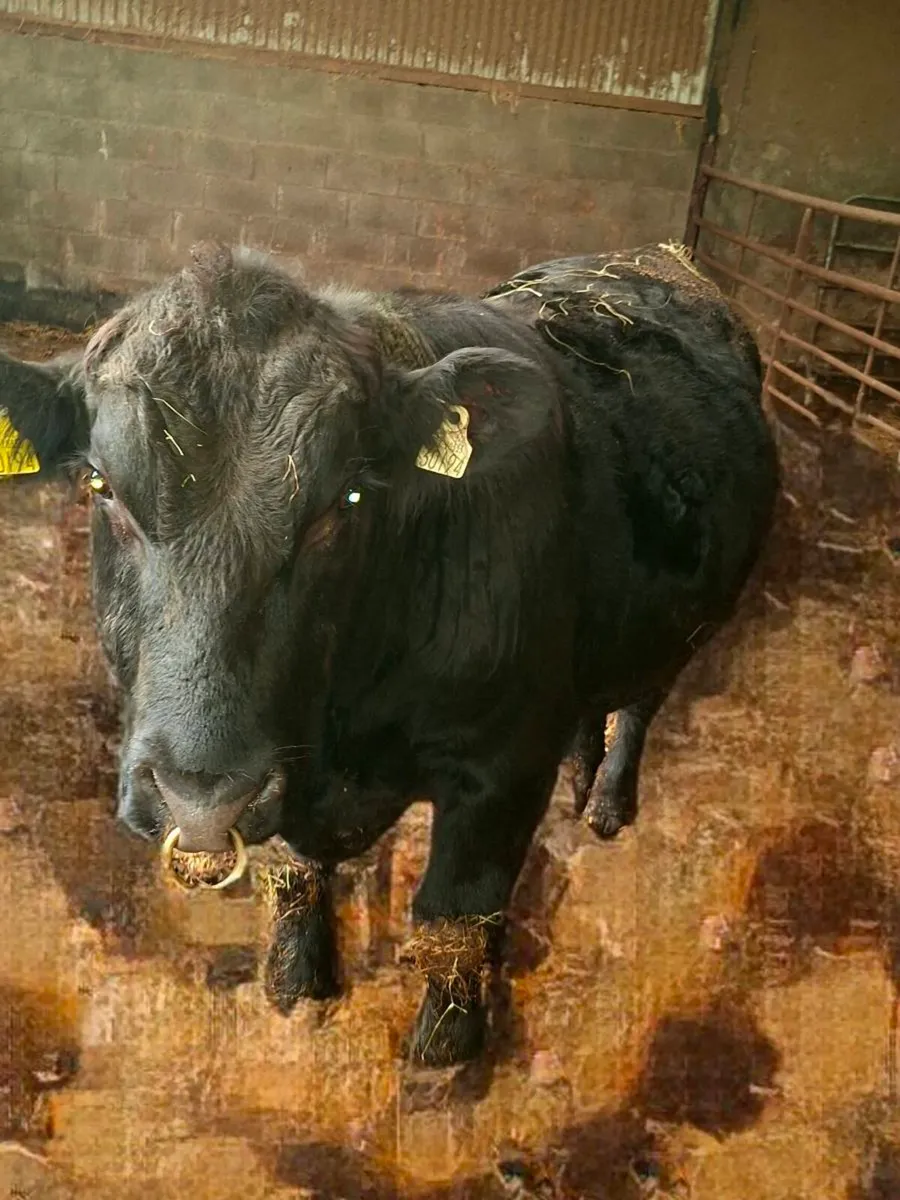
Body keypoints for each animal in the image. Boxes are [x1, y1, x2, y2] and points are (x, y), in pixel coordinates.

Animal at [0, 241, 779, 1067]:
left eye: (344, 501)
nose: (198, 799)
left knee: (637, 706)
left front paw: (446, 1054)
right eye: (100, 486)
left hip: (686, 631)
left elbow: (456, 917)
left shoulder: (501, 773)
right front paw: (296, 989)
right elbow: (298, 878)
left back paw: (606, 803)